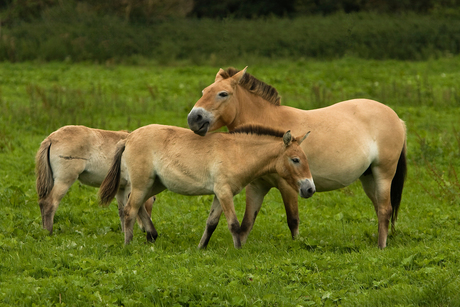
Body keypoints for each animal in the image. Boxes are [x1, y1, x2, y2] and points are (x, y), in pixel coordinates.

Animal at [99, 124, 316, 249]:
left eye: (306, 158)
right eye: (295, 159)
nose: (310, 189)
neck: (238, 152)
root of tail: (128, 138)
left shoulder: (220, 195)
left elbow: (211, 223)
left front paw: (201, 248)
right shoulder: (224, 192)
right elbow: (234, 224)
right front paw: (239, 251)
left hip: (154, 185)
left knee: (138, 207)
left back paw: (152, 235)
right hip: (142, 183)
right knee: (130, 210)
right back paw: (128, 245)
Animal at [187, 67, 406, 250]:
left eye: (223, 94)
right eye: (204, 92)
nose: (193, 118)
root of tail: (397, 118)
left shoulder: (290, 186)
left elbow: (293, 220)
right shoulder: (257, 186)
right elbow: (246, 223)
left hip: (383, 174)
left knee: (385, 210)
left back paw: (381, 247)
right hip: (368, 178)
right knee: (379, 209)